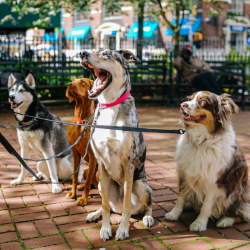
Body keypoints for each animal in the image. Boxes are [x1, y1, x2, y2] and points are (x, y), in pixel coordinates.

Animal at [79, 49, 153, 241]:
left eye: (106, 54)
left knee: (147, 205)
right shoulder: (101, 164)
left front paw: (122, 229)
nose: (82, 52)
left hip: (141, 185)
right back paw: (94, 214)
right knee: (110, 206)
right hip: (99, 183)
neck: (110, 105)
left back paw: (148, 217)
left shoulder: (128, 164)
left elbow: (127, 205)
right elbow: (105, 206)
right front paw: (105, 229)